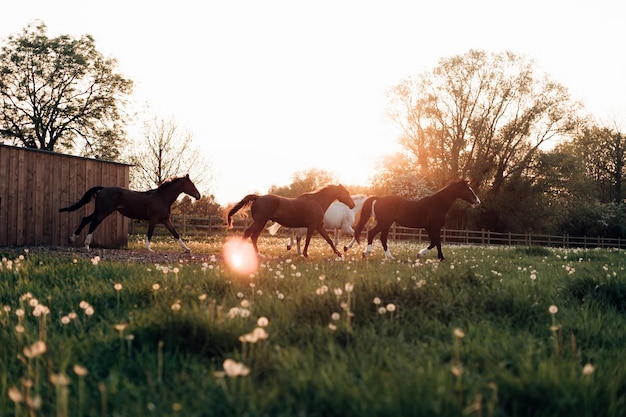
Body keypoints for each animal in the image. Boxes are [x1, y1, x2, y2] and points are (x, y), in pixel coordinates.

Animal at [59, 174, 199, 252]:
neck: (162, 197)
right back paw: (86, 245)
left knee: (85, 219)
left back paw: (73, 238)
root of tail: (103, 189)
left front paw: (187, 249)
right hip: (103, 212)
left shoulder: (165, 220)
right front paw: (149, 249)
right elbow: (149, 233)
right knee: (92, 224)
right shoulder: (154, 219)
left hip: (99, 211)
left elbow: (175, 234)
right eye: (192, 185)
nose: (199, 196)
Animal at [228, 184, 356, 256]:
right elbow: (308, 240)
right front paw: (305, 254)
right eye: (347, 192)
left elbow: (329, 240)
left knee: (254, 237)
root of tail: (258, 197)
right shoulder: (312, 226)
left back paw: (259, 255)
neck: (317, 201)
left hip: (261, 223)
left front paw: (339, 253)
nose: (353, 205)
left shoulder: (319, 226)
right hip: (259, 222)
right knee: (248, 233)